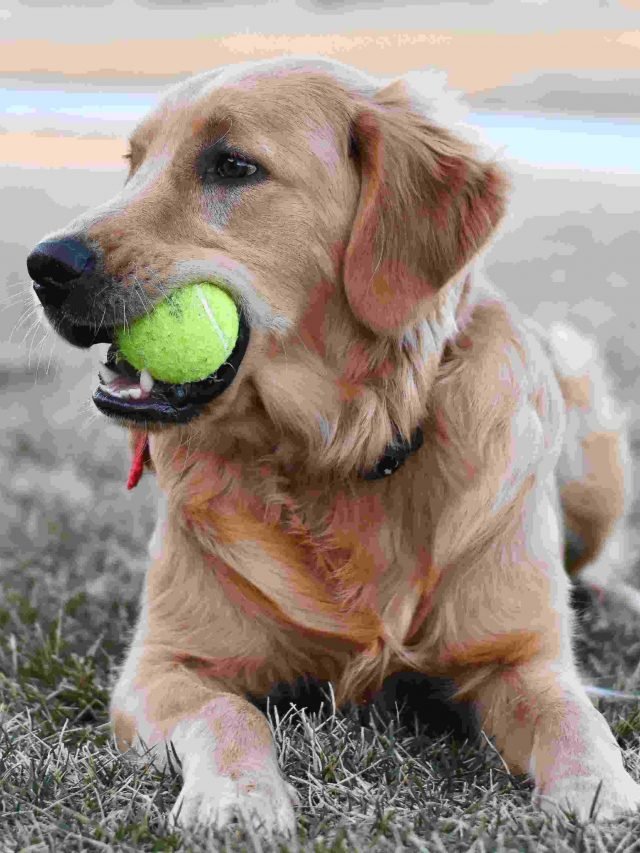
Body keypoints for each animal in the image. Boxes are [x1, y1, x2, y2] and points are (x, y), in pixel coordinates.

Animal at [27, 58, 640, 832]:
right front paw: (238, 795)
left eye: (232, 166)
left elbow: (572, 717)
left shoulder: (523, 657)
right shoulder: (164, 664)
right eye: (133, 164)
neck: (337, 451)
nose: (43, 264)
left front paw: (602, 791)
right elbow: (229, 715)